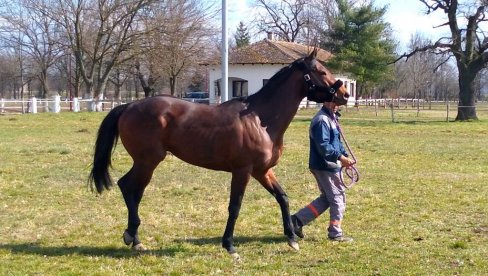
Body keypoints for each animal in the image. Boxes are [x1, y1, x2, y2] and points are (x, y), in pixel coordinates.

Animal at [87, 49, 346, 256]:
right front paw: (229, 245)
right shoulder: (242, 171)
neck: (260, 120)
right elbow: (235, 206)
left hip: (146, 163)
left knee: (134, 191)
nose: (344, 93)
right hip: (147, 161)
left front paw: (292, 237)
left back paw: (134, 237)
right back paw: (133, 237)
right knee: (127, 186)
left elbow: (282, 197)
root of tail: (129, 106)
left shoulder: (262, 171)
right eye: (321, 71)